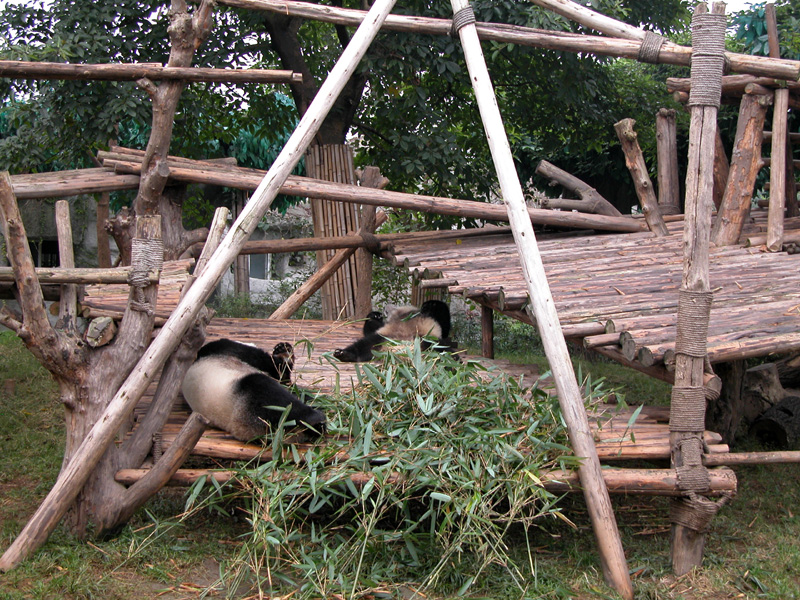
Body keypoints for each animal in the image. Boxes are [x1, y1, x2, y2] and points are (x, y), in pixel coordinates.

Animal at [182, 338, 326, 442]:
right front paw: (282, 353)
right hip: (252, 397)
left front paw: (283, 351)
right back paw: (317, 419)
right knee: (278, 399)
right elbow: (266, 363)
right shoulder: (225, 349)